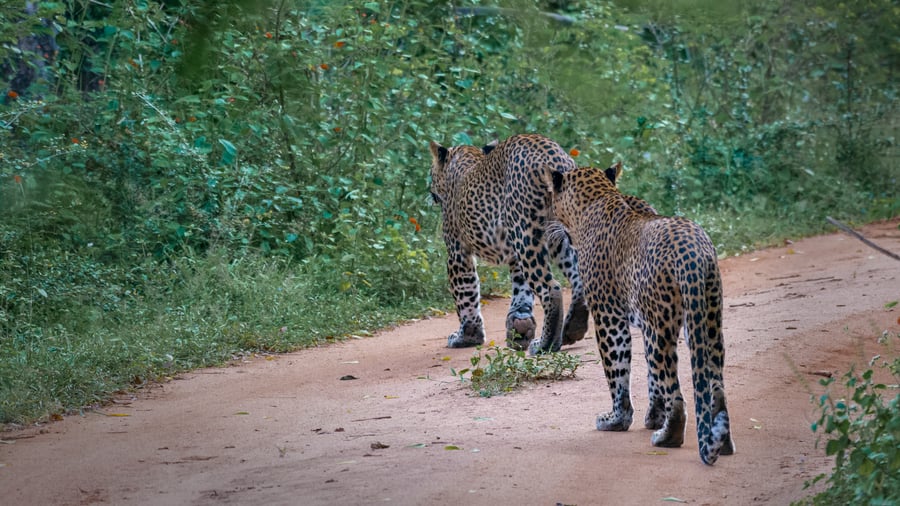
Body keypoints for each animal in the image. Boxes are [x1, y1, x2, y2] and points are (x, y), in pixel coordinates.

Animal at [548, 164, 735, 465]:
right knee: (715, 387)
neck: (597, 198)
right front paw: (654, 416)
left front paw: (617, 420)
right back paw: (722, 443)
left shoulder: (609, 316)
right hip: (707, 320)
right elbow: (651, 379)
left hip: (660, 328)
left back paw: (667, 437)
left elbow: (617, 371)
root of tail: (692, 251)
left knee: (676, 392)